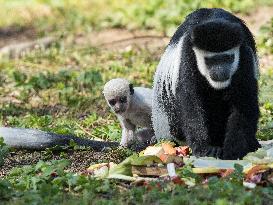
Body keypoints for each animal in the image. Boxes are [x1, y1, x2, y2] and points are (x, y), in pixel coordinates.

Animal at [152, 8, 260, 159]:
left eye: (228, 58)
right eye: (210, 60)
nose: (220, 72)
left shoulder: (244, 55)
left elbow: (243, 102)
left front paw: (232, 150)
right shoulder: (188, 56)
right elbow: (191, 102)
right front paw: (203, 148)